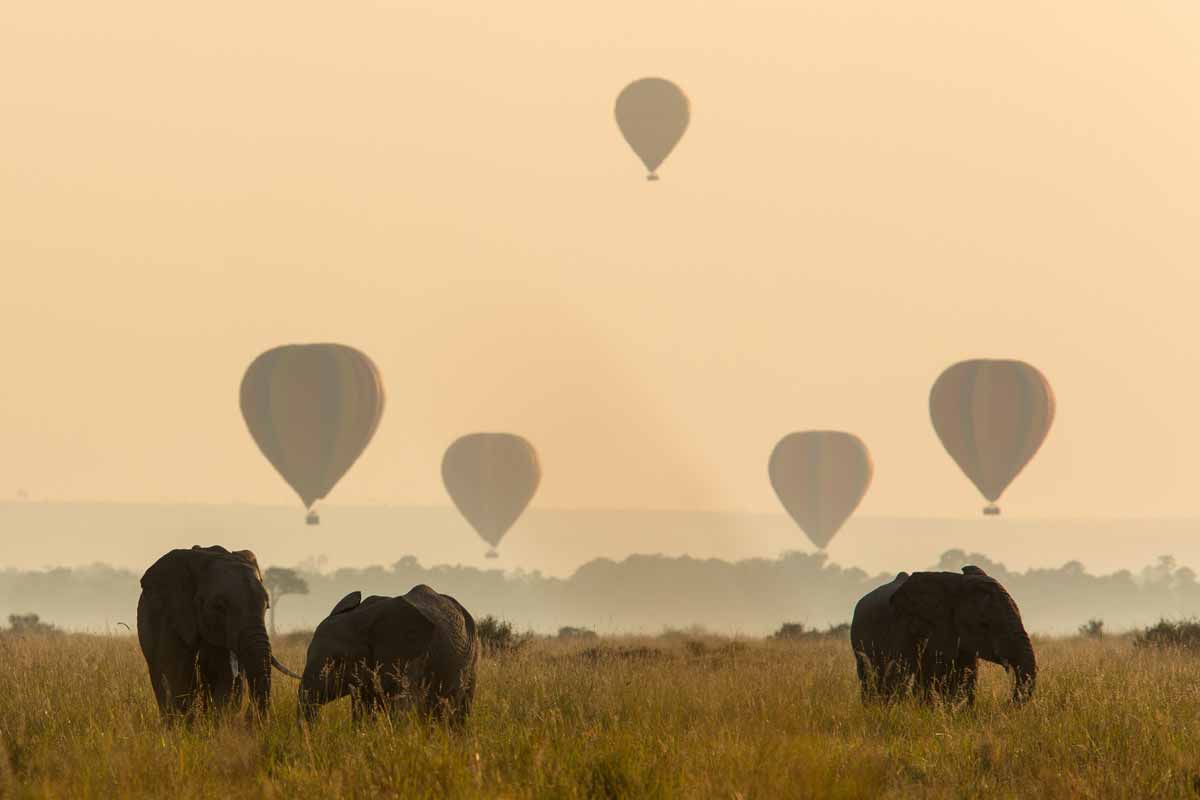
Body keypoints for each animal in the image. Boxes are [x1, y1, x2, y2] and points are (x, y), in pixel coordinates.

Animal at [136, 544, 300, 719]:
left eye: (267, 606)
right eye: (219, 607)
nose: (249, 715)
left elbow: (224, 680)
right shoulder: (169, 618)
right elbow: (176, 678)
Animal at [297, 585, 480, 729]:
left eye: (337, 662)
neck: (361, 620)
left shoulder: (407, 659)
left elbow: (400, 708)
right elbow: (362, 709)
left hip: (473, 655)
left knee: (461, 705)